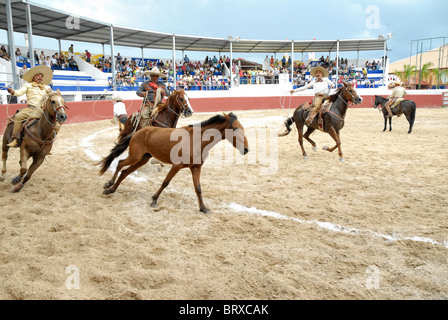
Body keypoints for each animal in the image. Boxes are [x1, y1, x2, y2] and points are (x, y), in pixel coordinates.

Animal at [97, 112, 248, 215]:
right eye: (235, 129)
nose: (246, 149)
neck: (196, 140)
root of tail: (136, 133)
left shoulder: (196, 168)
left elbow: (198, 188)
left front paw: (204, 208)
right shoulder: (177, 166)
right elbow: (166, 182)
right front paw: (154, 200)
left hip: (143, 159)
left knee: (125, 172)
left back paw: (111, 190)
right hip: (135, 156)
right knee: (120, 163)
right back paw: (108, 184)